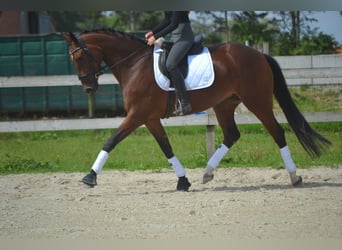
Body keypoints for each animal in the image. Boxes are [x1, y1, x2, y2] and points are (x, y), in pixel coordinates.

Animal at [62, 28, 330, 190]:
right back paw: (207, 173)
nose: (88, 87)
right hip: (224, 104)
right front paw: (183, 181)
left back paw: (294, 177)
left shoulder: (137, 115)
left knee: (277, 133)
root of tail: (259, 54)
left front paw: (90, 177)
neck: (133, 64)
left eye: (79, 57)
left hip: (258, 102)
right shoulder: (149, 118)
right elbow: (166, 148)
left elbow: (111, 140)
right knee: (232, 135)